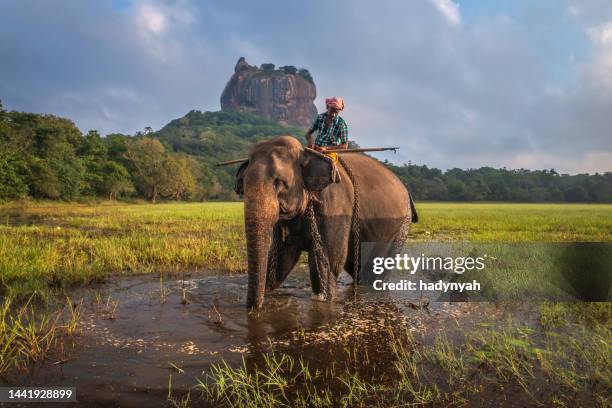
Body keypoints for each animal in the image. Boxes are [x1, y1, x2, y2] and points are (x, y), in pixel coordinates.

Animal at [234, 135, 416, 308]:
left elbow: (324, 264)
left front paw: (323, 299)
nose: (254, 308)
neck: (306, 153)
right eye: (243, 183)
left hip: (399, 227)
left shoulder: (335, 208)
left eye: (279, 182)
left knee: (373, 272)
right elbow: (281, 260)